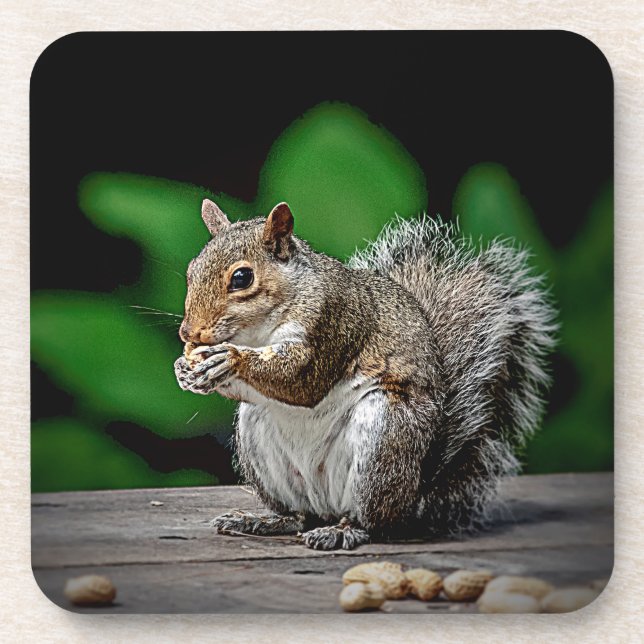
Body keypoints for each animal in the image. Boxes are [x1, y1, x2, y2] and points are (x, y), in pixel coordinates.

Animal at [174, 199, 557, 550]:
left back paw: (343, 531)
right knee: (299, 515)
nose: (188, 333)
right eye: (192, 270)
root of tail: (415, 495)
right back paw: (265, 521)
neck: (257, 332)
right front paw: (185, 370)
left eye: (242, 278)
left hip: (384, 438)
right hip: (259, 437)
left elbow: (301, 381)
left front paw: (229, 359)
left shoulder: (334, 321)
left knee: (372, 521)